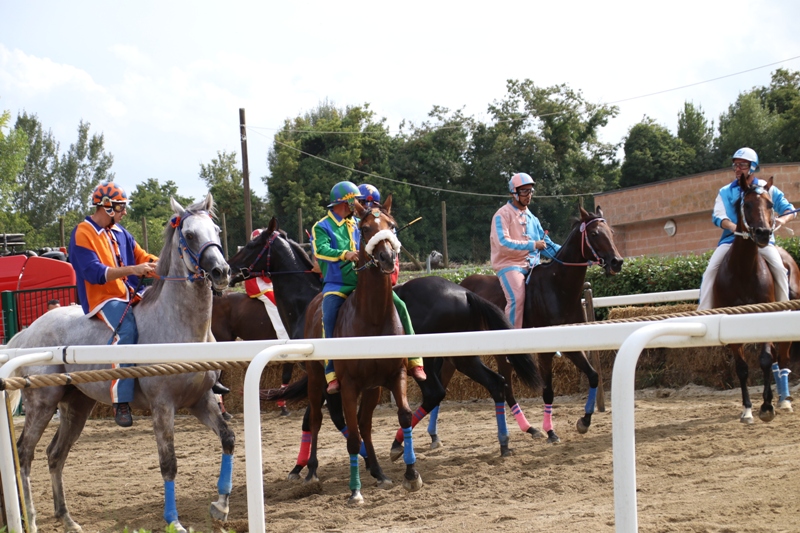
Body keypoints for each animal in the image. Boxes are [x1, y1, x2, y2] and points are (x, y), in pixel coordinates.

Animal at [8, 194, 233, 533]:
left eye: (217, 230)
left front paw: (220, 507)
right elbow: (168, 463)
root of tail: (28, 331)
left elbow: (228, 439)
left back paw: (68, 519)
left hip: (77, 407)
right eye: (190, 234)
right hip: (42, 404)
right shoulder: (163, 406)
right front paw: (174, 521)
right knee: (24, 453)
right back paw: (31, 520)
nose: (221, 271)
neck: (180, 328)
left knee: (55, 454)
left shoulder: (201, 401)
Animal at [461, 206, 624, 443]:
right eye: (594, 234)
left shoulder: (571, 344)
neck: (558, 287)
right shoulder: (545, 352)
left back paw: (530, 428)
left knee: (505, 387)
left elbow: (593, 376)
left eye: (611, 232)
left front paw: (584, 421)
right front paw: (551, 431)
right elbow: (548, 391)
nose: (616, 262)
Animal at [711, 175, 800, 423]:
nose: (763, 233)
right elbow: (742, 368)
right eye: (747, 204)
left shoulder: (765, 316)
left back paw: (784, 400)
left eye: (770, 204)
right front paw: (748, 409)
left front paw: (767, 406)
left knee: (783, 359)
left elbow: (766, 360)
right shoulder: (731, 326)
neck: (744, 270)